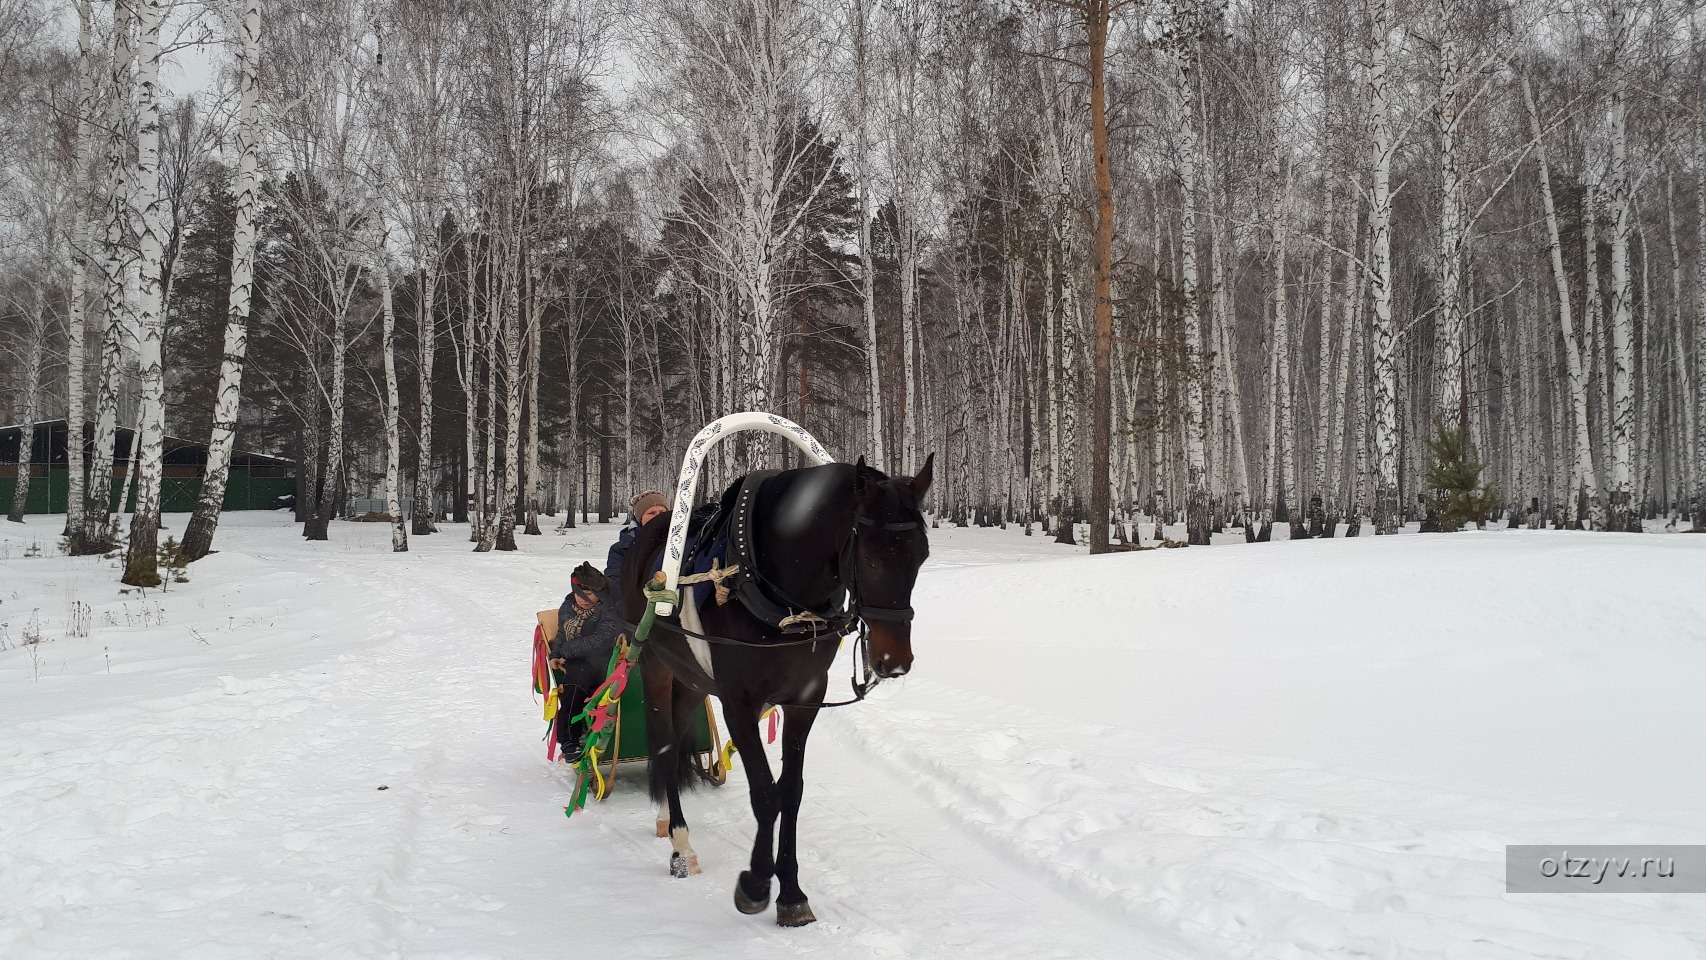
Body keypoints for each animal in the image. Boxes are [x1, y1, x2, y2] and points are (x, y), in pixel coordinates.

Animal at [620, 453, 934, 927]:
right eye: (871, 558)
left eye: (922, 555)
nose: (894, 661)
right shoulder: (738, 703)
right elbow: (766, 793)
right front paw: (754, 884)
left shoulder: (805, 700)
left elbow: (791, 791)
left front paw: (790, 892)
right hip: (656, 667)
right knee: (663, 746)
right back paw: (679, 844)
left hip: (691, 679)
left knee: (675, 743)